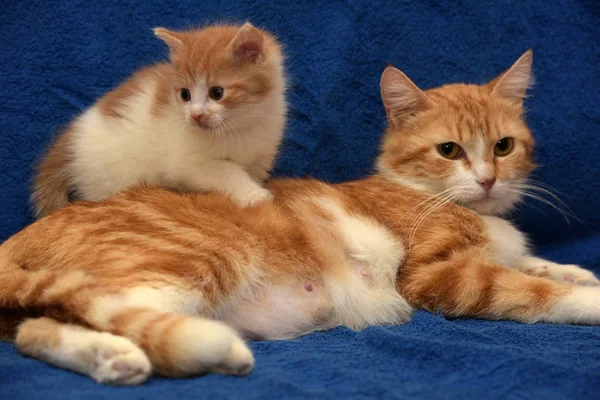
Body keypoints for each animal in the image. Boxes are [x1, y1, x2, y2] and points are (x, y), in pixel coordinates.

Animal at [29, 23, 288, 217]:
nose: (195, 115)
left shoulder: (261, 155)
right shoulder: (187, 162)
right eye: (185, 94)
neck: (240, 125)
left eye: (217, 92)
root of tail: (68, 142)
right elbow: (226, 171)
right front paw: (254, 195)